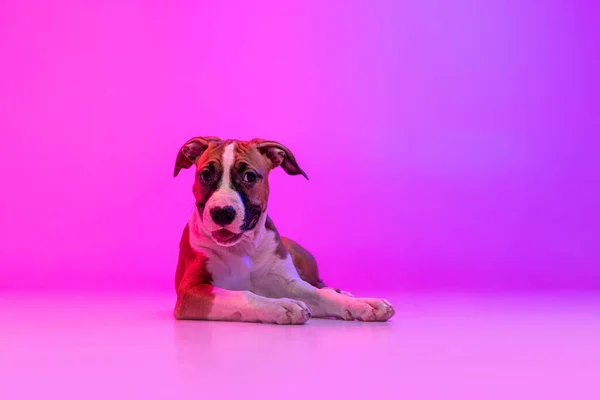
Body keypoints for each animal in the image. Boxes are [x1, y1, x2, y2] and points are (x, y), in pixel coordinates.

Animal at [172, 138, 394, 324]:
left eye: (249, 176)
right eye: (205, 175)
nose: (222, 213)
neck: (243, 248)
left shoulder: (289, 283)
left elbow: (320, 295)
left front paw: (363, 303)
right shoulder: (190, 293)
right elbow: (244, 294)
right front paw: (280, 305)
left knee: (321, 285)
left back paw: (343, 293)